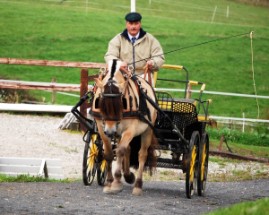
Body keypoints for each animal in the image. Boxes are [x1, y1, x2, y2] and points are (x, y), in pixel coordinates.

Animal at [90, 59, 157, 196]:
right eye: (101, 103)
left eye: (121, 103)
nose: (110, 131)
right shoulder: (102, 129)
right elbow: (109, 154)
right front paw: (109, 182)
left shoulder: (130, 130)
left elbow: (120, 151)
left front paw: (116, 183)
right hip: (119, 133)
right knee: (128, 149)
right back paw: (127, 175)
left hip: (147, 130)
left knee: (142, 154)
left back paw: (137, 185)